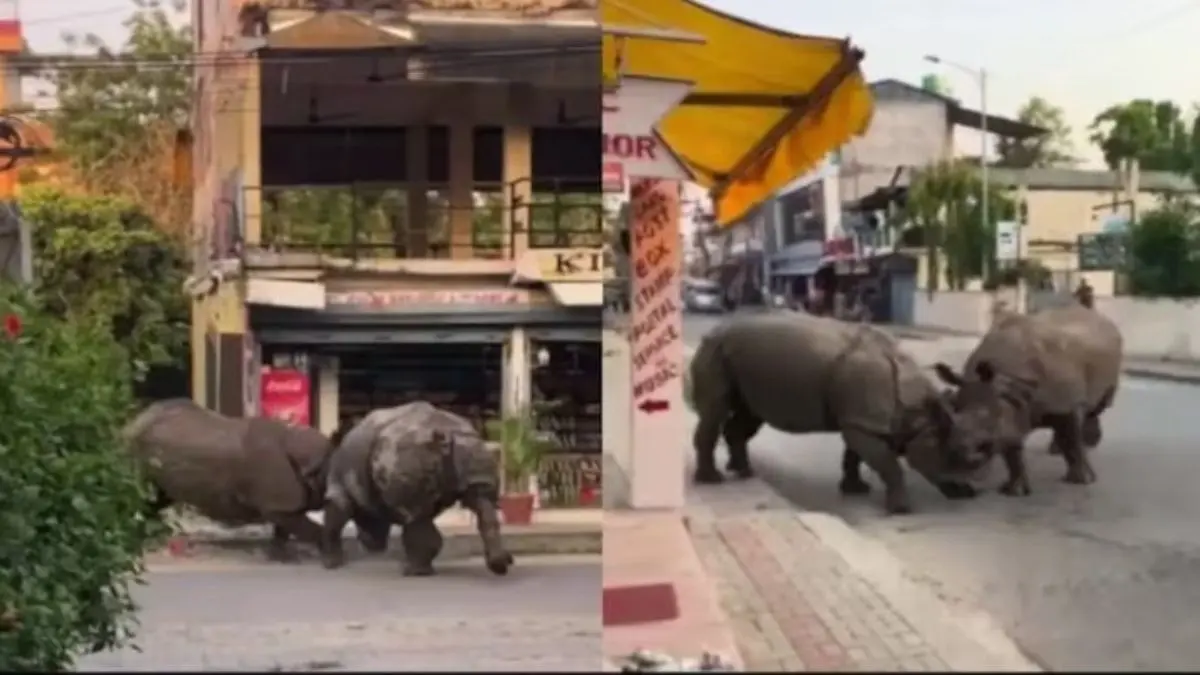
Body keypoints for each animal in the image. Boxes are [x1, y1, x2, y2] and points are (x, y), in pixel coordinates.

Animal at [123, 398, 333, 561]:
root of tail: (136, 419)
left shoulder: (283, 504)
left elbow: (283, 531)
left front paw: (281, 558)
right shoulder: (278, 503)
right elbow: (306, 528)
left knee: (157, 497)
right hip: (136, 444)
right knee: (140, 492)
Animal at [321, 401, 514, 577]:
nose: (366, 541)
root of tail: (446, 433)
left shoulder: (341, 485)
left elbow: (335, 518)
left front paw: (333, 563)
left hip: (407, 452)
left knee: (414, 515)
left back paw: (412, 571)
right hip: (470, 446)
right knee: (480, 498)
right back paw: (499, 566)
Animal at [690, 313, 988, 514]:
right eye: (953, 456)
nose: (969, 492)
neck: (920, 414)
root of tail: (714, 330)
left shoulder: (861, 420)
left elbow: (854, 456)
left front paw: (855, 490)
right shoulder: (861, 422)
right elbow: (888, 464)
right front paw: (901, 509)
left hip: (743, 361)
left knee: (749, 415)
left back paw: (744, 472)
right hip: (715, 351)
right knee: (715, 411)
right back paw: (712, 480)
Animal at [933, 304, 1123, 495]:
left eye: (984, 444)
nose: (954, 483)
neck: (1009, 382)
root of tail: (1097, 316)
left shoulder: (1065, 404)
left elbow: (1072, 439)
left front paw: (1082, 481)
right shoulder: (1011, 407)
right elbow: (1012, 449)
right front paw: (1015, 490)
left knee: (1095, 407)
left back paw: (1087, 443)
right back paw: (1057, 450)